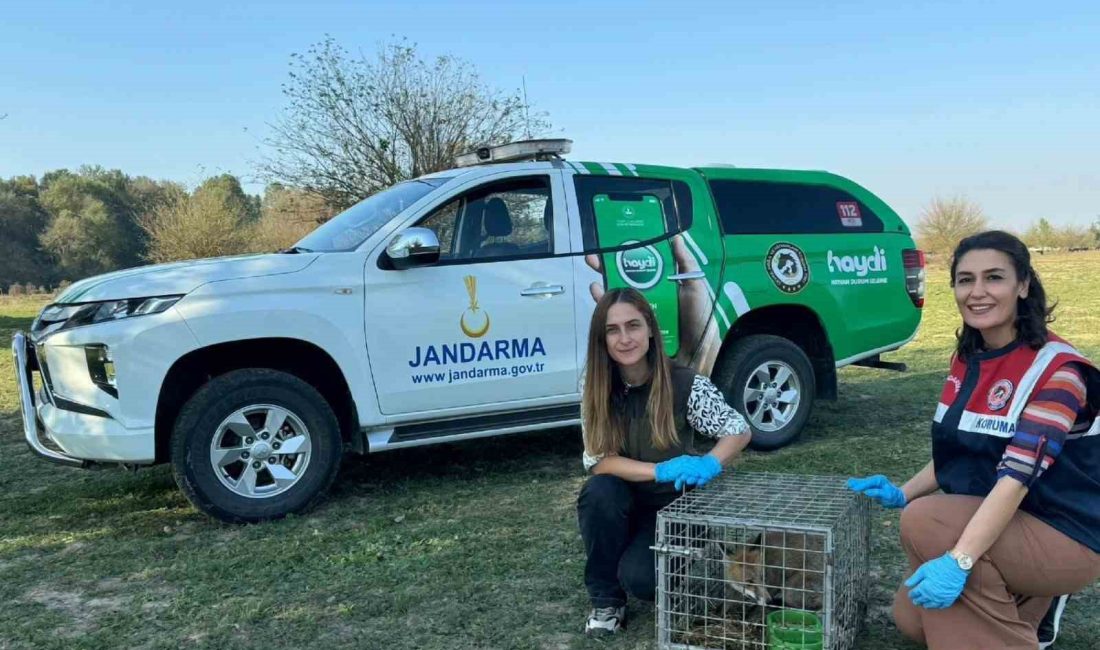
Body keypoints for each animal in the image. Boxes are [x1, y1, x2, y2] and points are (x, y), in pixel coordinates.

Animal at [651, 472, 866, 650]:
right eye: (749, 581)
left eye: (763, 577)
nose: (769, 599)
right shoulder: (734, 591)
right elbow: (722, 609)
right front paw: (713, 619)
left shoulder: (770, 587)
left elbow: (752, 613)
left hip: (792, 590)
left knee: (810, 607)